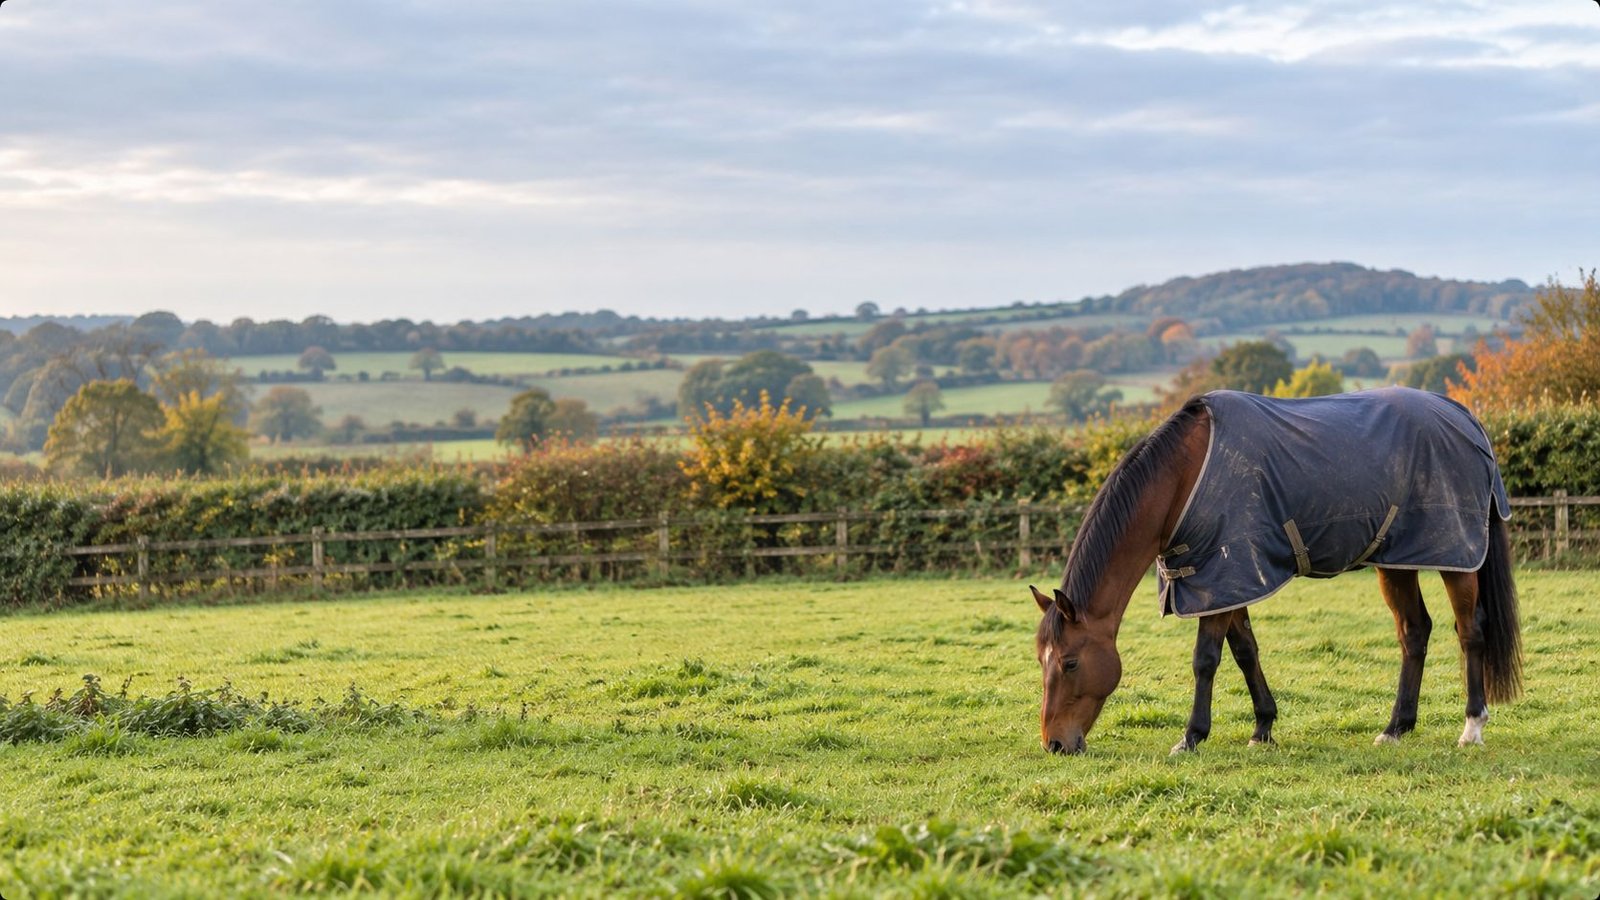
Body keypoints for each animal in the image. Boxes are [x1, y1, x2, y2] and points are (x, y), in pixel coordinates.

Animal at [1031, 386, 1521, 755]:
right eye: (1042, 660)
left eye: (1070, 662)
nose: (1055, 743)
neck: (1182, 479)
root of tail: (1465, 417)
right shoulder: (1228, 580)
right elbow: (1245, 651)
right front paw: (1263, 727)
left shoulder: (1222, 576)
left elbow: (1205, 660)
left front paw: (1191, 737)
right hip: (1396, 560)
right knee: (1414, 632)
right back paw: (1396, 727)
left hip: (1456, 555)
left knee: (1470, 631)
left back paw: (1472, 727)